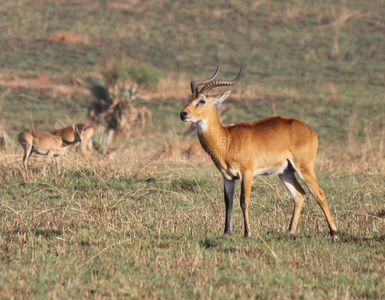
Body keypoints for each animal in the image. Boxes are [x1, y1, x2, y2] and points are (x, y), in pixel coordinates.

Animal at [179, 66, 336, 239]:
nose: (183, 114)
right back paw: (290, 231)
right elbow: (228, 202)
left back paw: (334, 232)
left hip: (304, 167)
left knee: (319, 193)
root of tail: (310, 130)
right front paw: (227, 232)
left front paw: (247, 233)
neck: (227, 138)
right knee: (299, 195)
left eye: (202, 101)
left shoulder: (247, 173)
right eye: (189, 99)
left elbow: (244, 201)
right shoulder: (228, 177)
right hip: (285, 172)